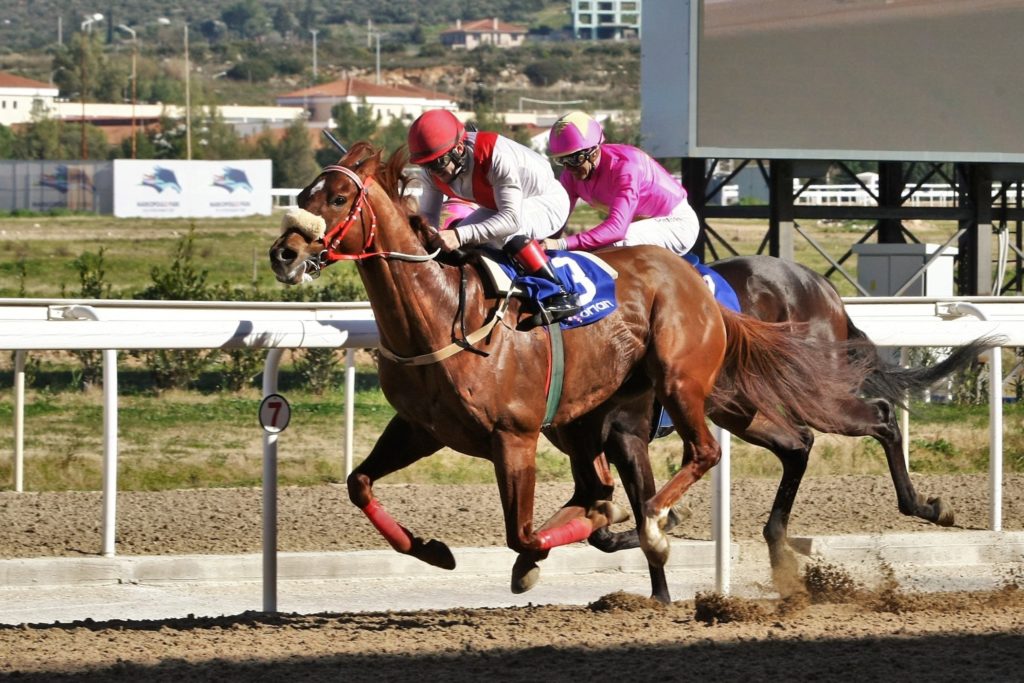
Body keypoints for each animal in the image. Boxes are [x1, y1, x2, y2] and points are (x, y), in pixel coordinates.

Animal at [268, 141, 868, 602]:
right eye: (301, 196)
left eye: (339, 198)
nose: (283, 254)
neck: (442, 316)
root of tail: (695, 284)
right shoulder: (421, 427)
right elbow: (358, 483)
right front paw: (433, 550)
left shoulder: (516, 436)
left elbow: (523, 534)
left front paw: (612, 534)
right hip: (641, 411)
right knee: (780, 445)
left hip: (682, 382)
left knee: (707, 451)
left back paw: (657, 518)